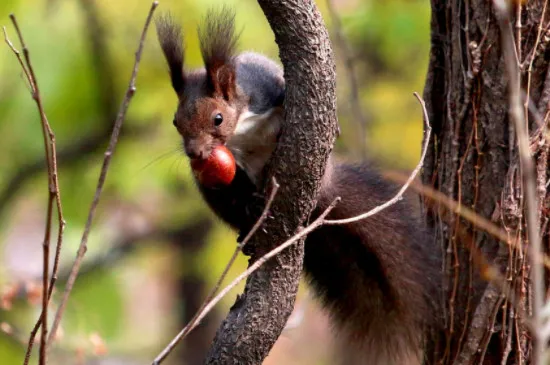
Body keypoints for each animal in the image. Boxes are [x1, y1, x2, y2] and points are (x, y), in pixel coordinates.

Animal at [155, 6, 444, 364]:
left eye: (217, 119)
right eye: (176, 122)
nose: (195, 154)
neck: (241, 128)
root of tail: (325, 190)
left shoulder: (265, 88)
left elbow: (282, 92)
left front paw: (333, 126)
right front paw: (246, 197)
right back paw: (249, 223)